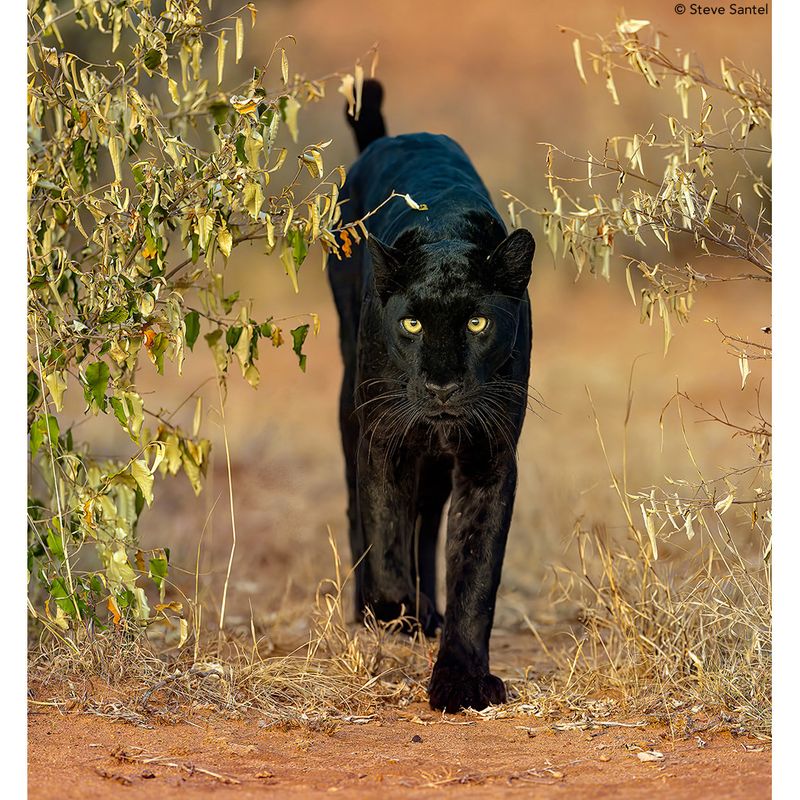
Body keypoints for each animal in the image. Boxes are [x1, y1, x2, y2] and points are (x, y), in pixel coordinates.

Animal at [328, 78, 536, 708]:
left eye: (476, 322)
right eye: (412, 324)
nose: (442, 385)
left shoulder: (489, 458)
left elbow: (475, 572)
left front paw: (461, 679)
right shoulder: (385, 438)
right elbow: (384, 531)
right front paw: (393, 611)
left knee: (425, 517)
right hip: (352, 403)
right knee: (361, 507)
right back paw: (382, 613)